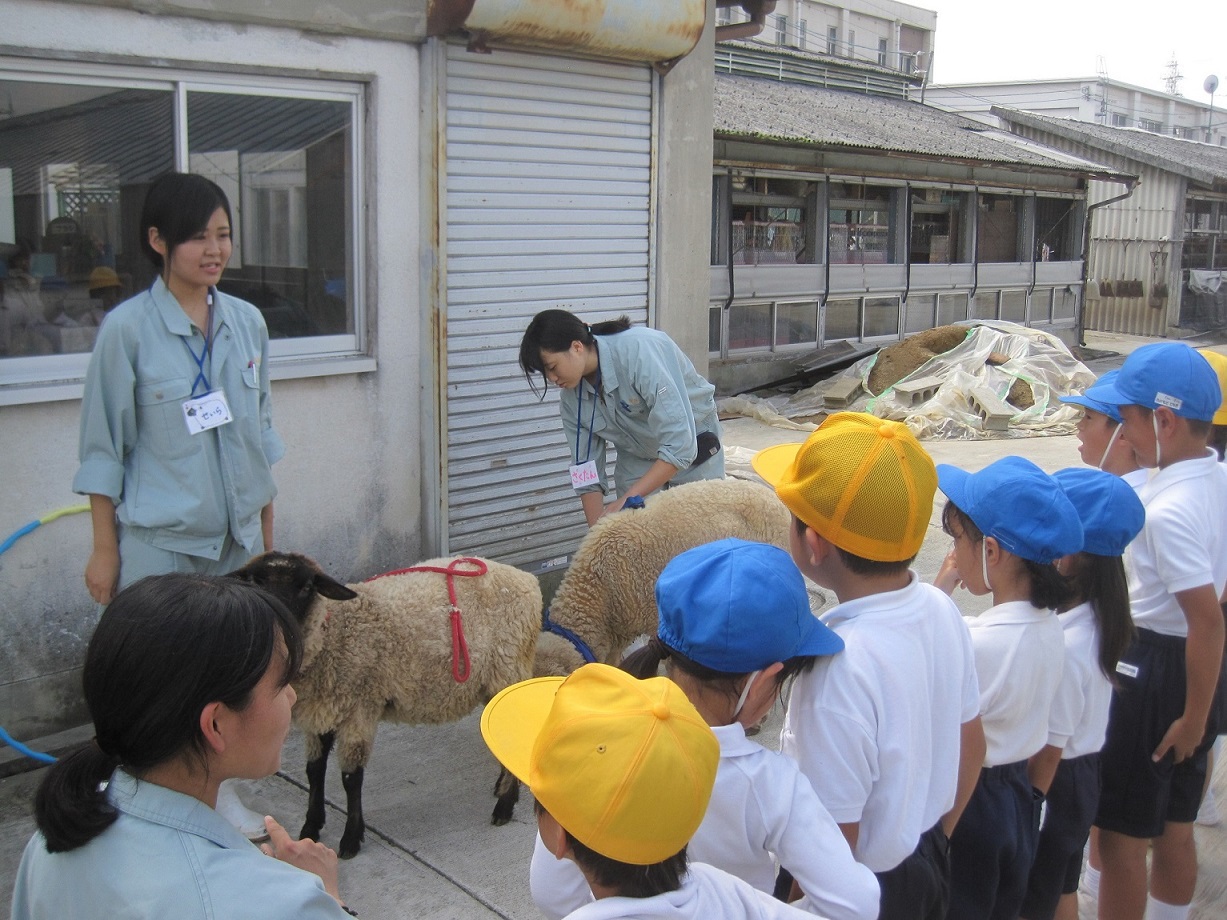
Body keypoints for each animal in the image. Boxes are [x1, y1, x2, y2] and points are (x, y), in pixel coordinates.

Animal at [230, 552, 542, 863]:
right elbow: (314, 771)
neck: (333, 634)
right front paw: (311, 827)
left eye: (307, 587)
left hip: (507, 669)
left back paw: (504, 807)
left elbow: (351, 778)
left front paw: (351, 839)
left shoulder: (360, 707)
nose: (279, 626)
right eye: (255, 582)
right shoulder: (321, 711)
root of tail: (526, 579)